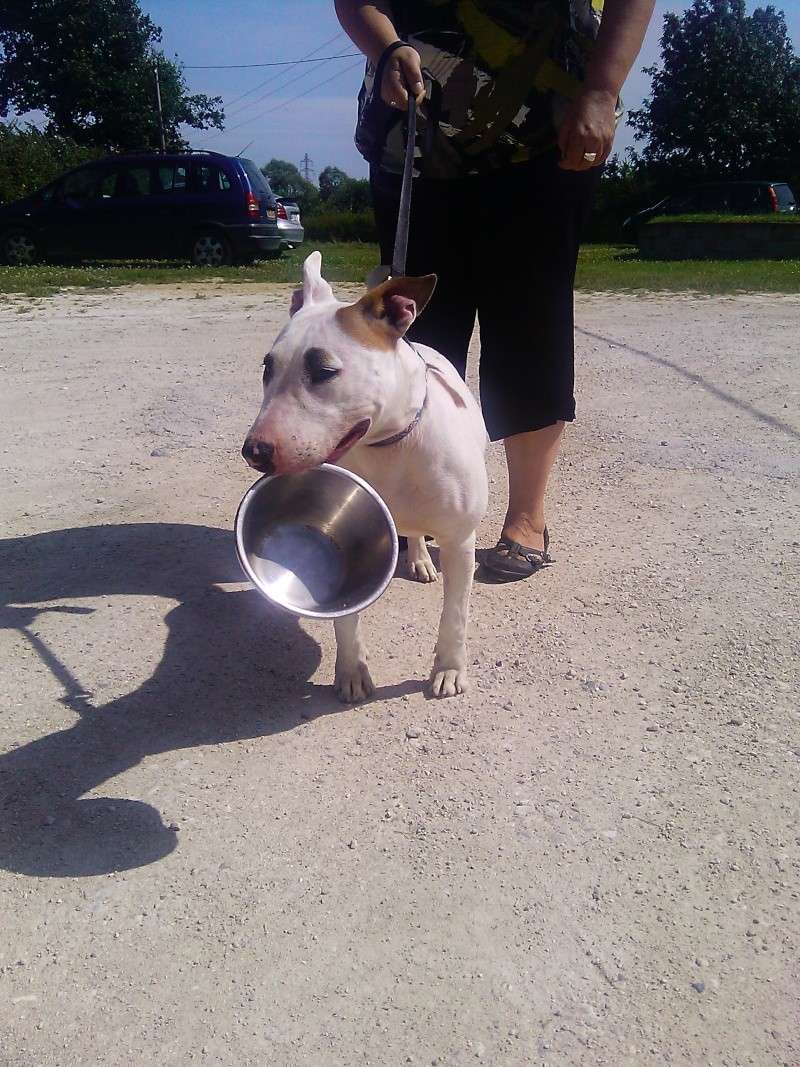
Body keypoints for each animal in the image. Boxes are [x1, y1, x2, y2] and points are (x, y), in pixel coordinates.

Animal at [241, 249, 488, 699]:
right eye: (267, 368)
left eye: (324, 371)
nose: (255, 452)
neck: (389, 446)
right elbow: (345, 617)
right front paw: (352, 671)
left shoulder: (461, 542)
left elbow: (455, 616)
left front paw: (449, 669)